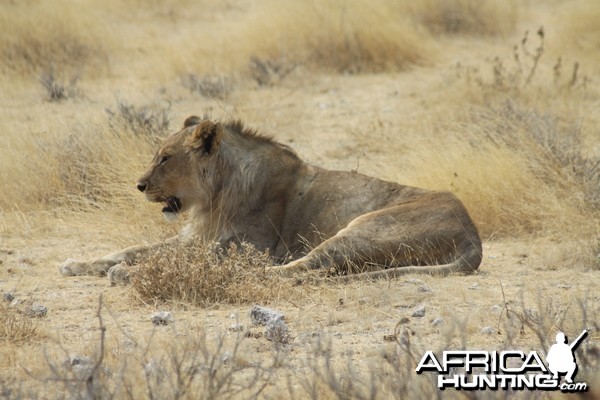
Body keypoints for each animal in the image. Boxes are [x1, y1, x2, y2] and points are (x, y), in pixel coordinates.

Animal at [59, 117, 482, 282]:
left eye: (165, 158)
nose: (139, 185)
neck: (215, 196)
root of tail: (473, 237)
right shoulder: (194, 237)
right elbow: (133, 249)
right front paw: (79, 263)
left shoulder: (244, 246)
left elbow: (176, 261)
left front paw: (126, 272)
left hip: (365, 227)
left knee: (305, 267)